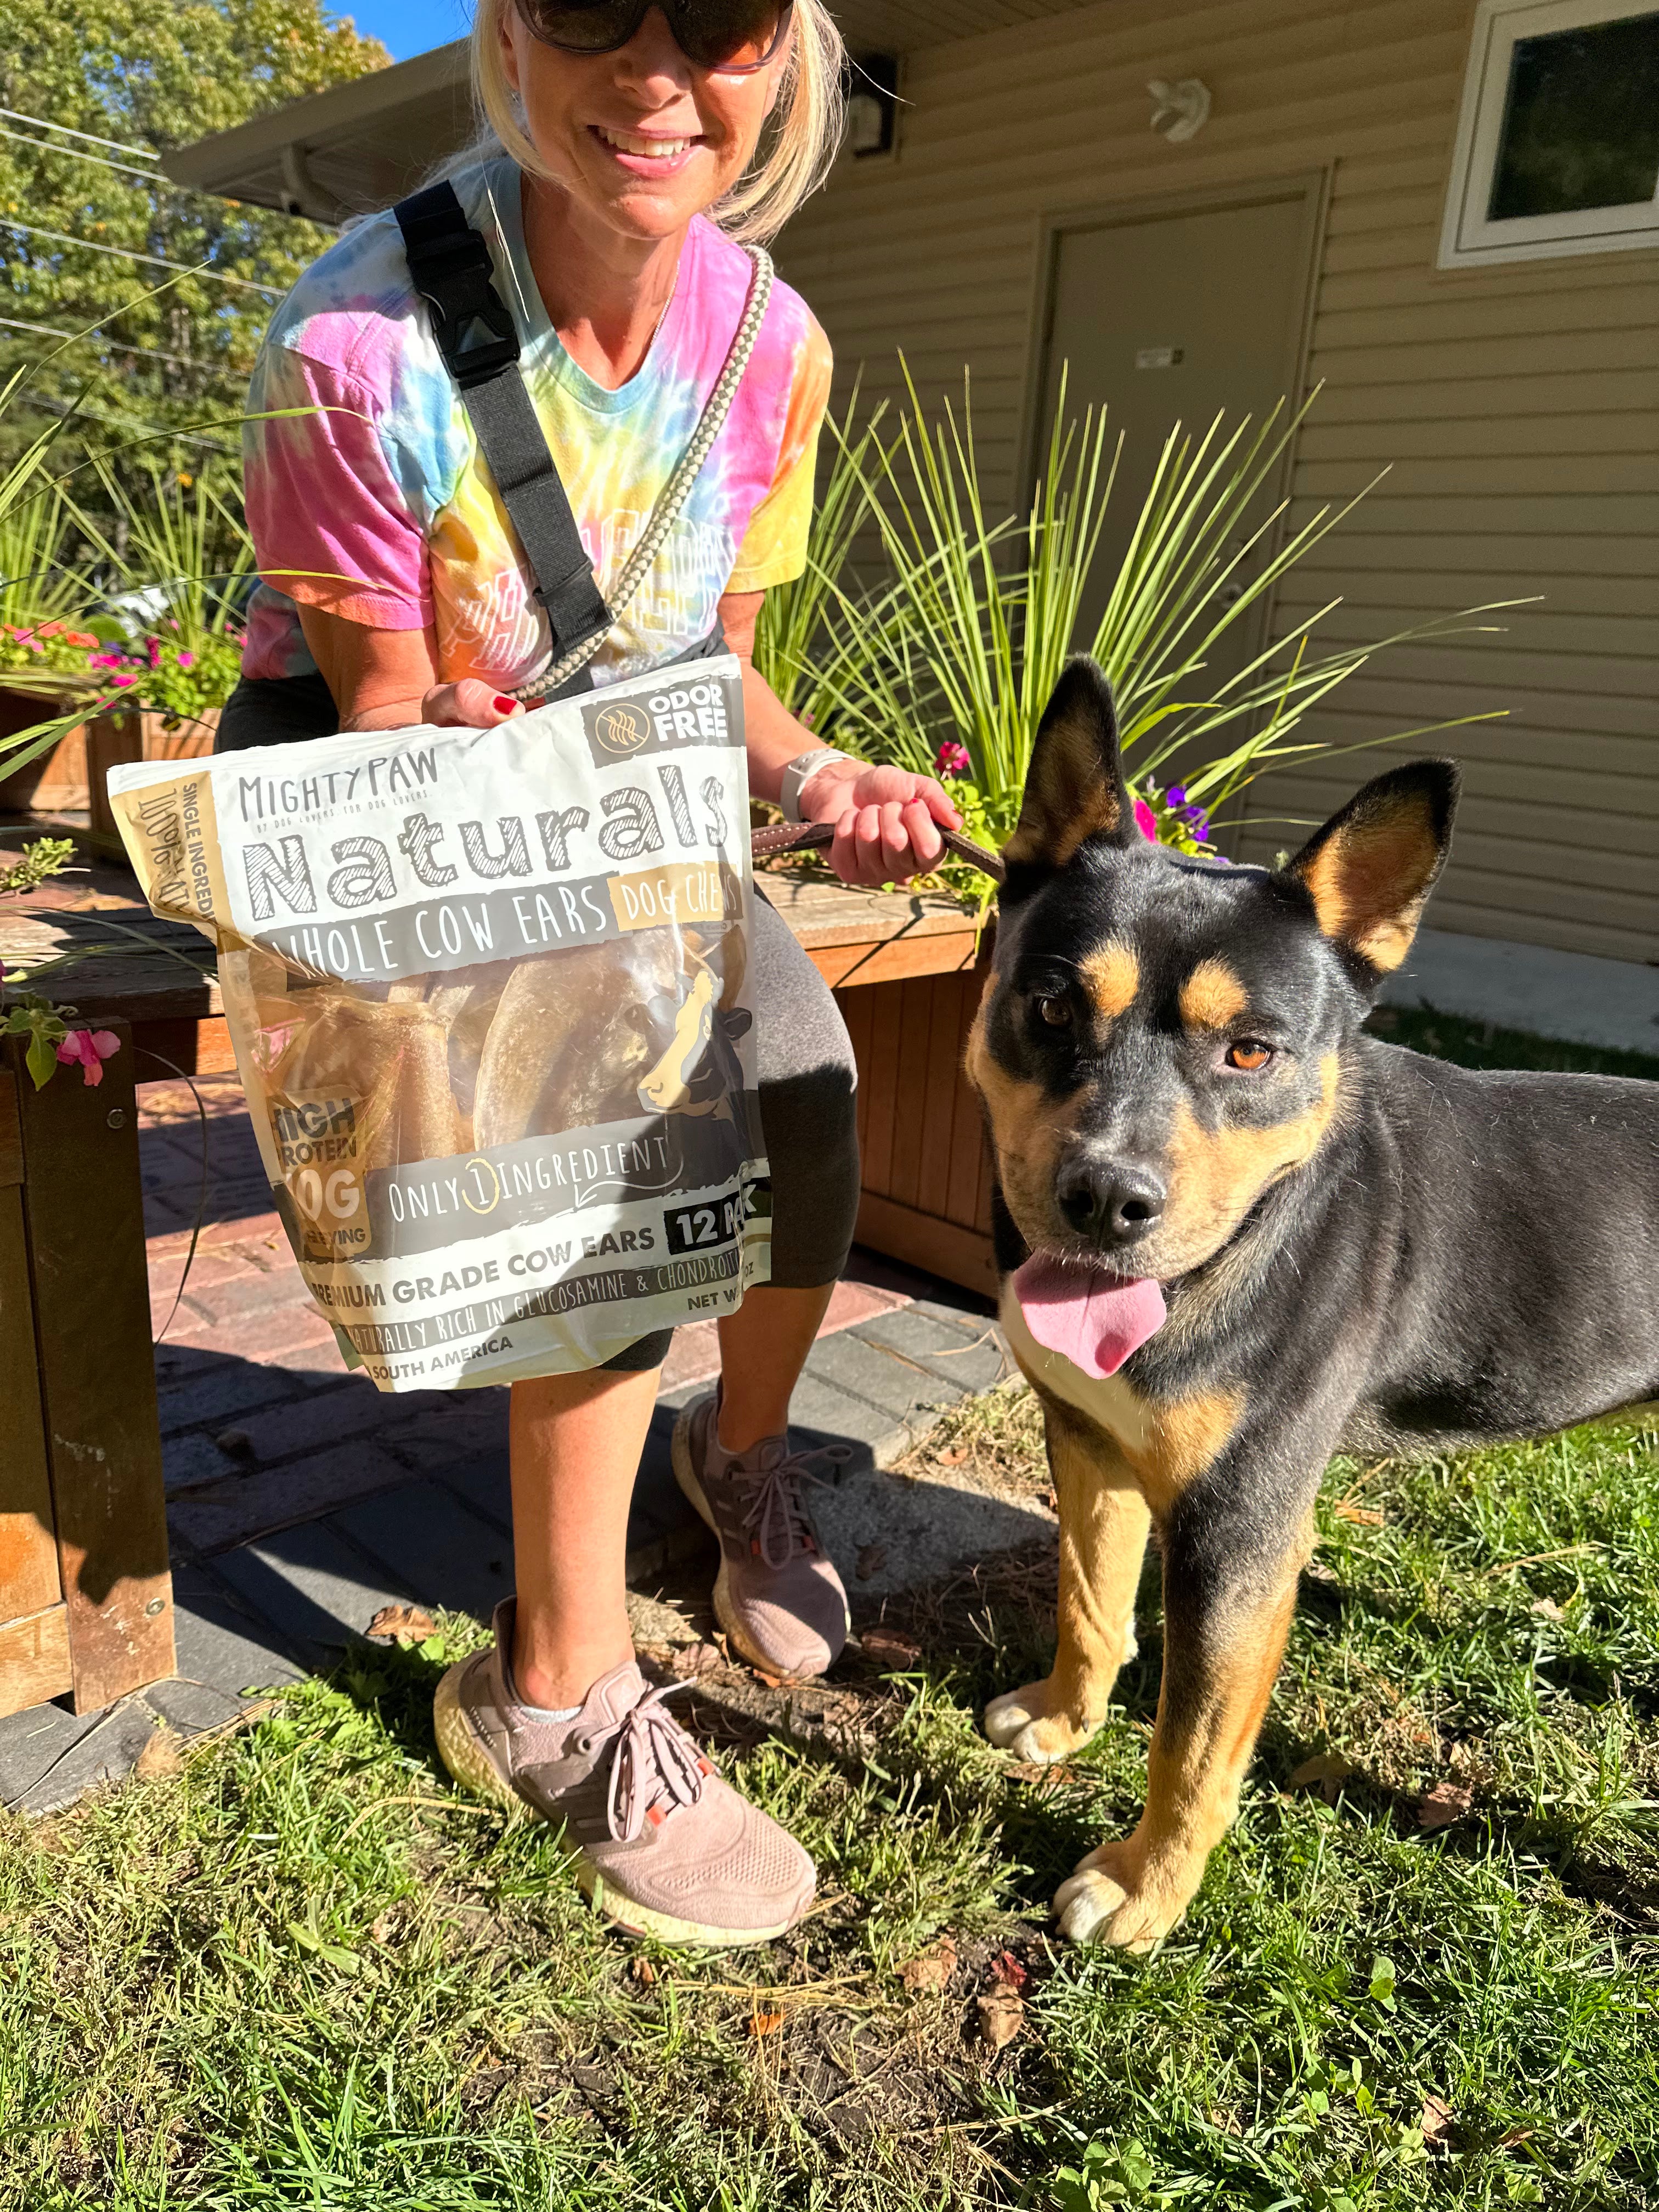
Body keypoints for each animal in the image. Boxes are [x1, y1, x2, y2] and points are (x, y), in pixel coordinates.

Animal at [969, 659, 1654, 1955]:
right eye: (1048, 1007)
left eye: (1251, 1051)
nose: (1105, 1199)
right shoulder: (1085, 1440)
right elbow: (1090, 1602)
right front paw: (1066, 1719)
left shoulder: (1241, 1529)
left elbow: (1191, 1745)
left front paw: (1143, 1890)